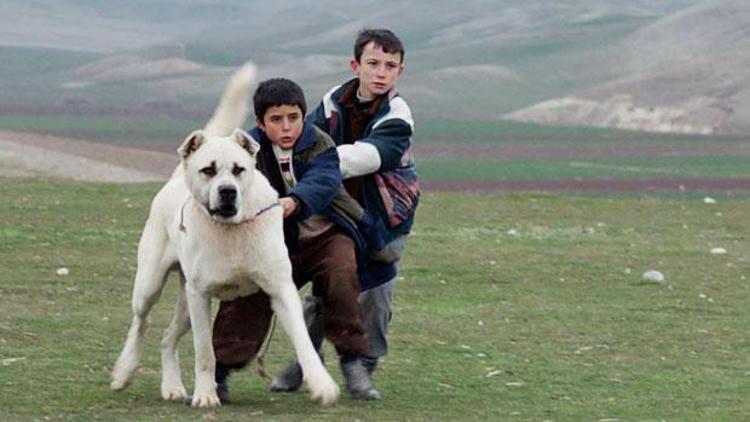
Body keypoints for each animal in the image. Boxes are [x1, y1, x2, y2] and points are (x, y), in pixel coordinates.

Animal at [109, 63, 340, 408]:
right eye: (208, 170)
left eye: (238, 169)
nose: (228, 191)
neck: (233, 230)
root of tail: (176, 179)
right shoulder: (201, 295)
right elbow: (205, 352)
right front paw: (206, 395)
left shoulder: (280, 290)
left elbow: (304, 342)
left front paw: (322, 384)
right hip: (152, 286)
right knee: (141, 322)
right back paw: (124, 372)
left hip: (184, 302)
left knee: (167, 337)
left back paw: (172, 387)